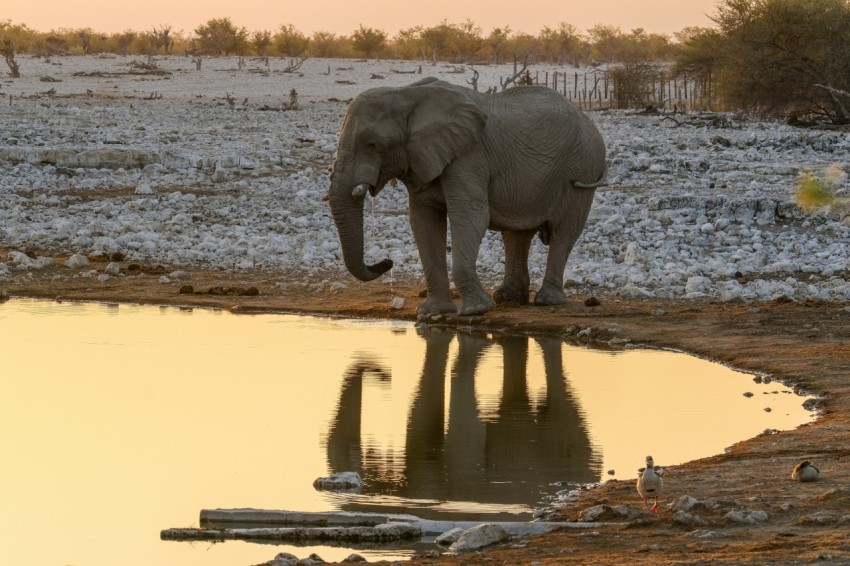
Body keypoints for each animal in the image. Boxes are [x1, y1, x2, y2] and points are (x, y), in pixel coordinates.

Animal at [324, 76, 604, 318]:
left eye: (372, 145)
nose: (387, 261)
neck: (405, 93)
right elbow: (423, 221)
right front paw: (432, 313)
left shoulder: (469, 156)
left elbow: (470, 215)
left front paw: (476, 310)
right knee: (516, 235)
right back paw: (508, 298)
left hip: (582, 168)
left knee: (563, 232)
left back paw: (546, 301)